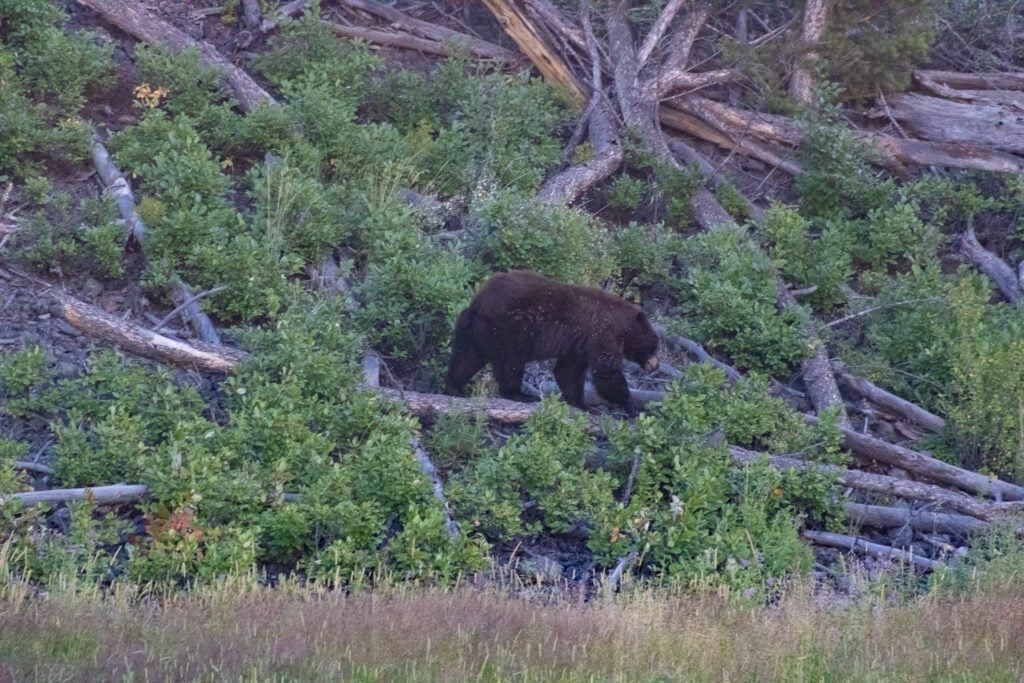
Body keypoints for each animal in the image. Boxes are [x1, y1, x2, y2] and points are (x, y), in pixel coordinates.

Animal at [444, 270, 660, 415]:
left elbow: (568, 371)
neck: (621, 324)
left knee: (467, 357)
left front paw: (580, 403)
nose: (655, 365)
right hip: (509, 329)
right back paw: (519, 394)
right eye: (654, 346)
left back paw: (455, 387)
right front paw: (631, 406)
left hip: (475, 330)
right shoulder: (601, 334)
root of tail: (479, 302)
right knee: (510, 362)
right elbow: (607, 372)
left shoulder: (579, 345)